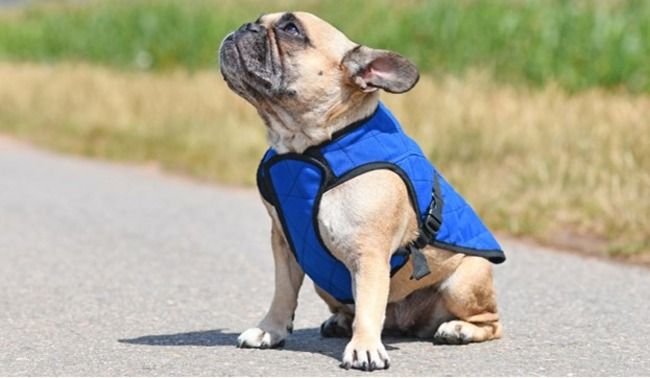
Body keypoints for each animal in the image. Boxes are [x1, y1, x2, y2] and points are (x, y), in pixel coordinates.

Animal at [220, 11, 504, 370]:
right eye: (259, 20)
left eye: (291, 29)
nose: (246, 27)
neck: (308, 147)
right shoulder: (284, 246)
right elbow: (283, 293)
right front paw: (270, 329)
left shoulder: (368, 254)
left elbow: (369, 303)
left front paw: (365, 348)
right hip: (324, 285)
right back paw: (341, 322)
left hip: (464, 281)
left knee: (491, 321)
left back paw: (458, 329)